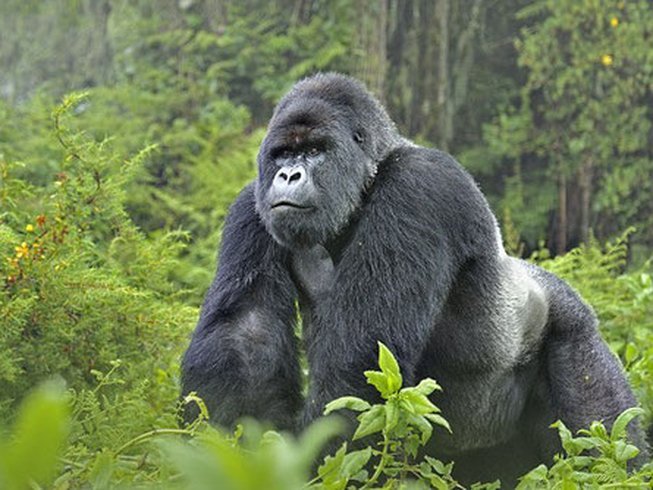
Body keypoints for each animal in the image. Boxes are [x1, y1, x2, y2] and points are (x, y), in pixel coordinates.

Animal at [180, 72, 648, 482]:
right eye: (282, 154)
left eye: (314, 151)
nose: (289, 175)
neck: (369, 179)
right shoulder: (252, 204)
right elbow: (246, 334)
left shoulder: (418, 187)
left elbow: (361, 360)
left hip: (574, 332)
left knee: (603, 434)